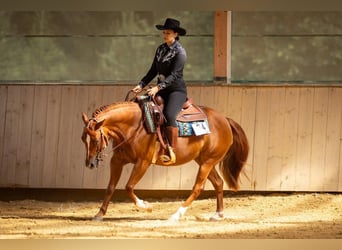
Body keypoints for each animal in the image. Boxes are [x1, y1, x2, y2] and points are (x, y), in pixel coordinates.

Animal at [82, 94, 250, 221]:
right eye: (83, 139)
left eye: (95, 140)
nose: (90, 164)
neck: (134, 125)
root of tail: (225, 120)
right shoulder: (117, 161)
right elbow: (110, 187)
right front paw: (99, 214)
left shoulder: (143, 162)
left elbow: (128, 187)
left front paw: (146, 206)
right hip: (205, 161)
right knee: (218, 183)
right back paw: (218, 214)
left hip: (207, 162)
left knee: (198, 187)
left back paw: (177, 215)